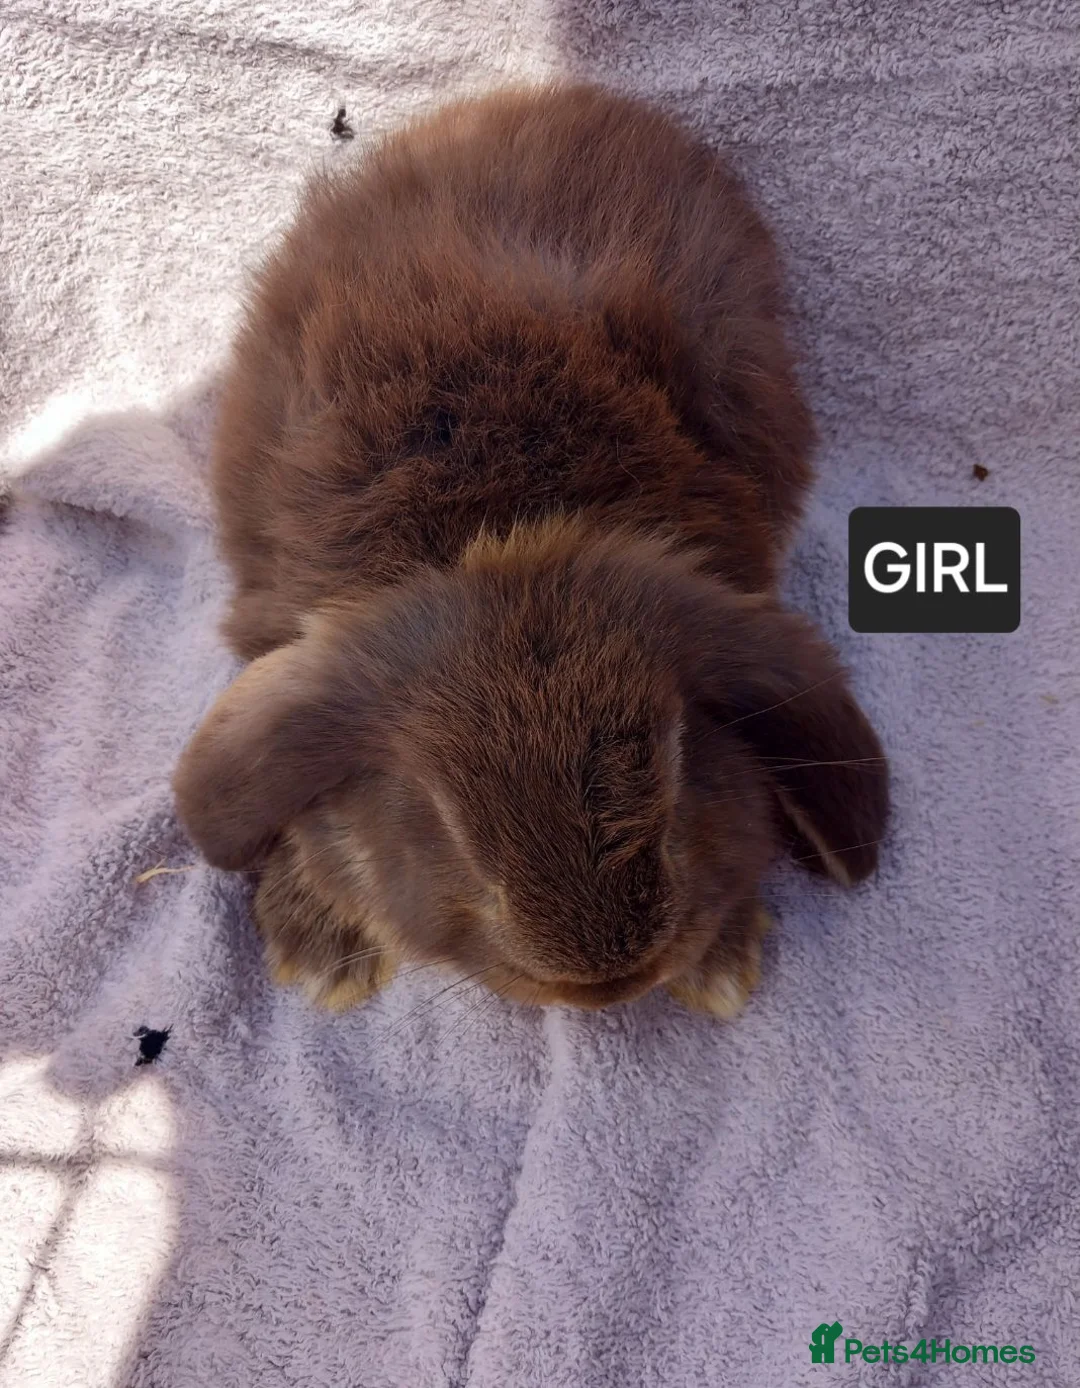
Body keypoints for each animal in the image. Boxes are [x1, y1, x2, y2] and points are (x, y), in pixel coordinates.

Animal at [173, 81, 889, 1018]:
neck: (504, 524)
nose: (608, 982)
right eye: (447, 827)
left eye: (678, 776)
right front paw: (320, 953)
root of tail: (562, 95)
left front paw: (721, 966)